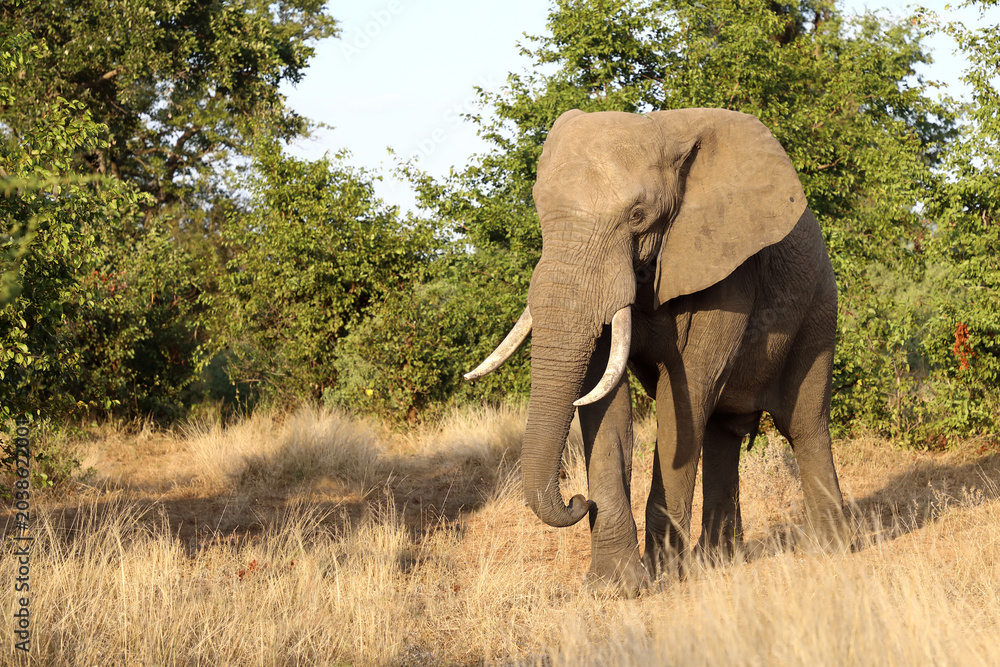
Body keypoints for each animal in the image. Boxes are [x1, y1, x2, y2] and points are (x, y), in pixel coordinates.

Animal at [465, 108, 847, 597]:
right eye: (539, 211)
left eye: (637, 215)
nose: (577, 500)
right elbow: (604, 401)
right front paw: (615, 587)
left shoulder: (725, 267)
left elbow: (686, 395)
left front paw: (665, 576)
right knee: (724, 431)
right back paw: (718, 561)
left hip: (819, 309)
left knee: (804, 425)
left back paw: (831, 550)